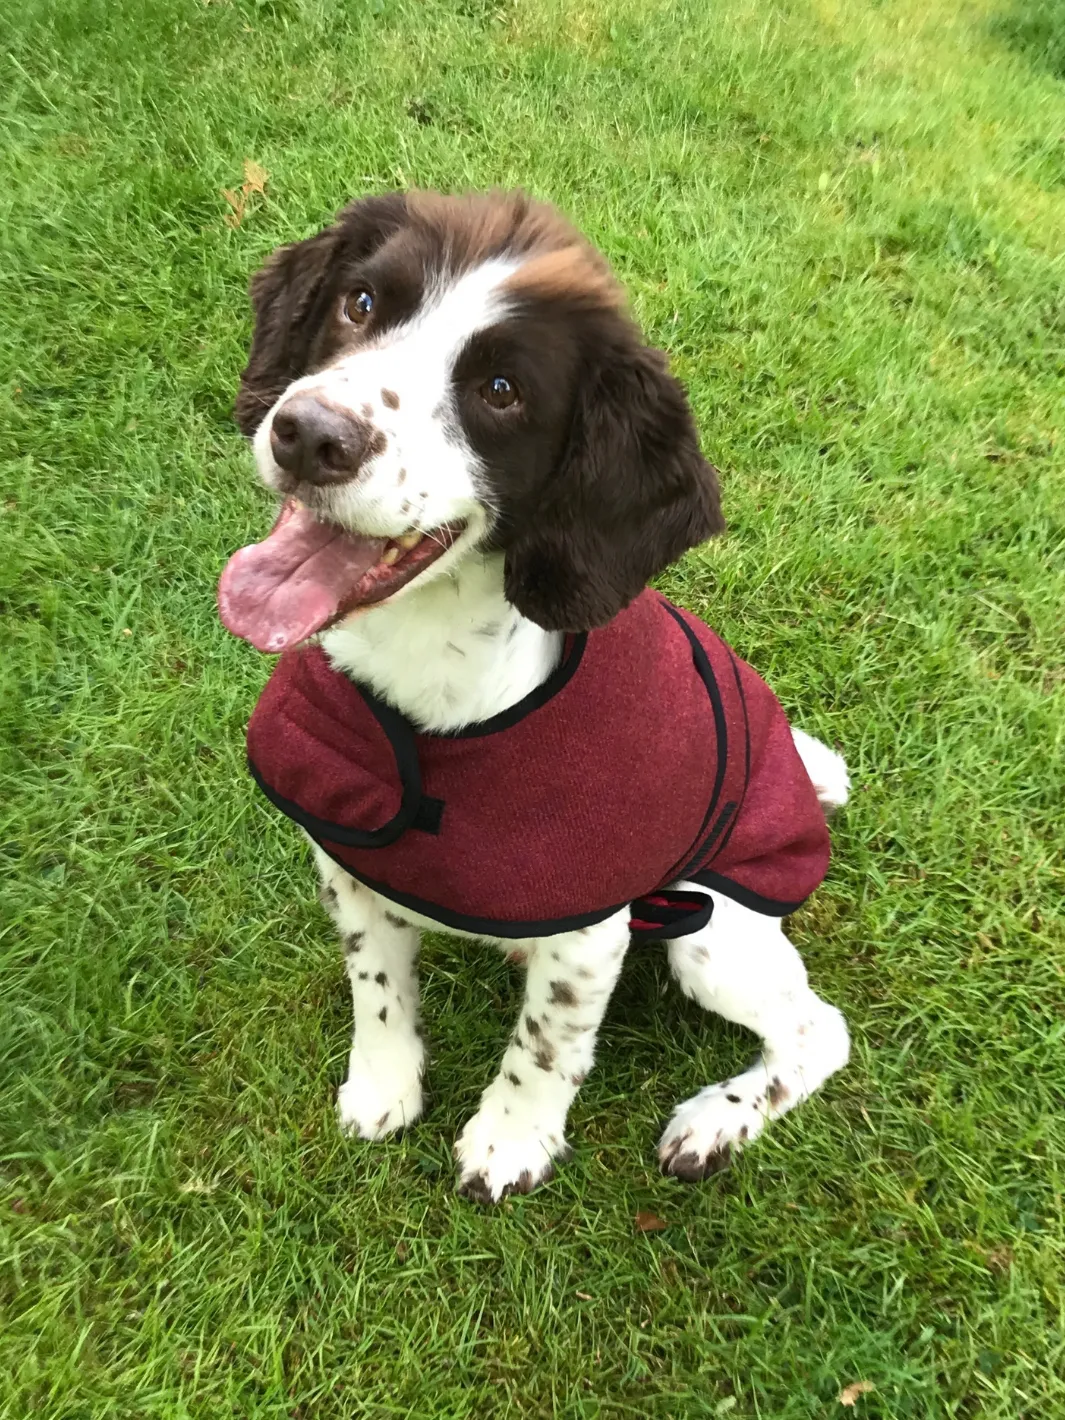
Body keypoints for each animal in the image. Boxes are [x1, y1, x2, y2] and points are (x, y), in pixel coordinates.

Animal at [217, 186, 852, 1198]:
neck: (428, 674)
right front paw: (384, 1087)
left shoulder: (593, 928)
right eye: (361, 303)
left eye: (501, 392)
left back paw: (715, 1121)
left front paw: (509, 1141)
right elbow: (376, 988)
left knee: (818, 1031)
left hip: (712, 932)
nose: (308, 434)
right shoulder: (348, 862)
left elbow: (548, 1039)